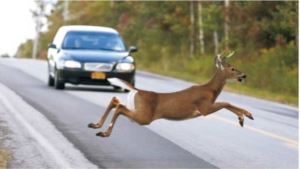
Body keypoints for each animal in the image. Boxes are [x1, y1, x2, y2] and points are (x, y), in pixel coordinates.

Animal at [88, 52, 254, 137]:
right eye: (232, 68)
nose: (244, 75)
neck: (211, 90)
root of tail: (138, 91)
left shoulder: (206, 107)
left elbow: (227, 103)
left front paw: (244, 117)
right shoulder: (204, 108)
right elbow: (226, 102)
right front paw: (245, 116)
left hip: (138, 110)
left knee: (116, 101)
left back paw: (96, 125)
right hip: (145, 116)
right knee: (120, 107)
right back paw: (104, 132)